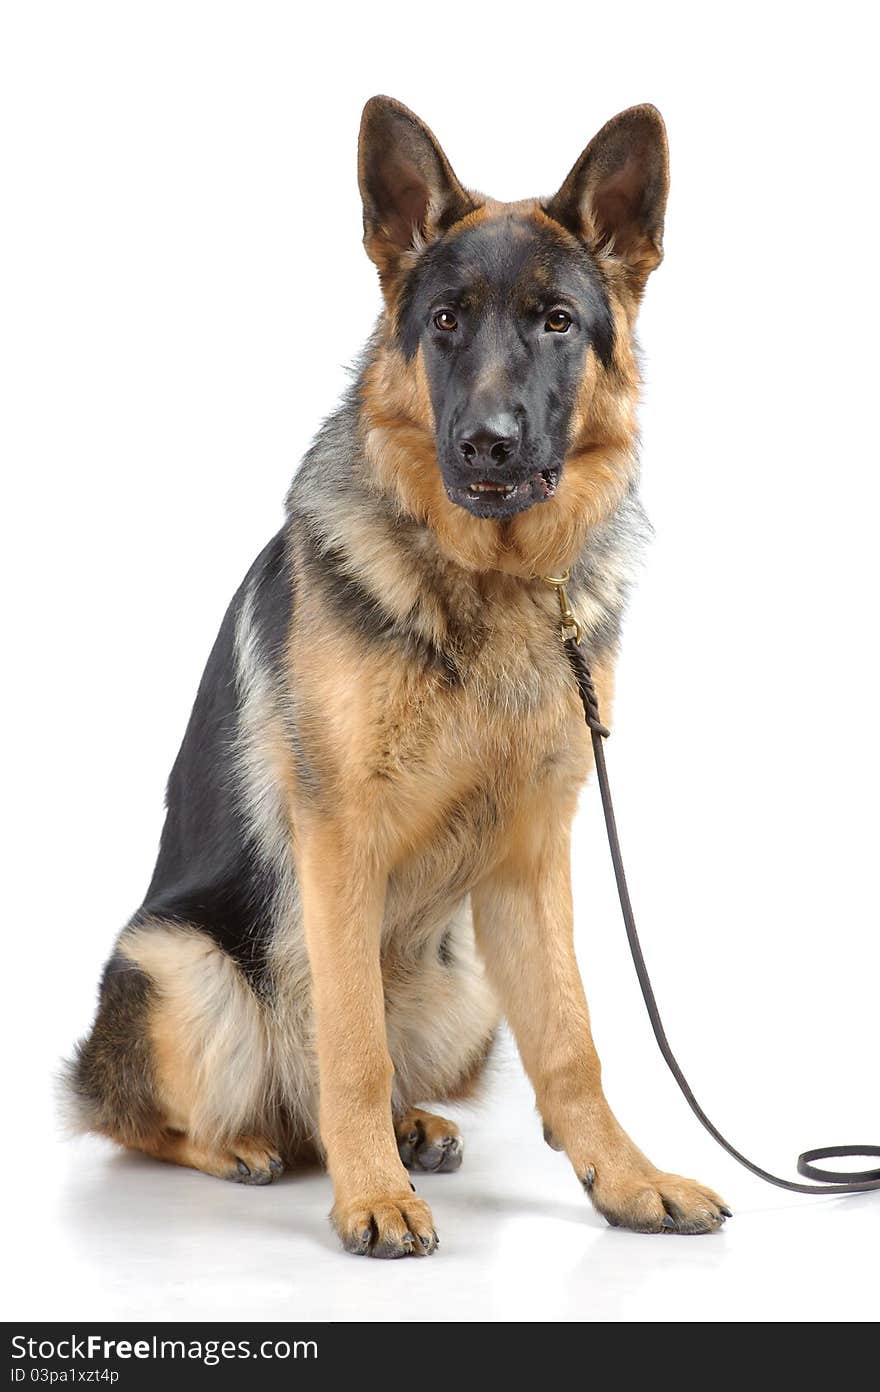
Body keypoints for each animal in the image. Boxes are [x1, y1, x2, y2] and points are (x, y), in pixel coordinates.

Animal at [68, 95, 724, 1252]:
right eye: (448, 321)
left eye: (558, 321)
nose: (488, 445)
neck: (492, 585)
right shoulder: (338, 840)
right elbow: (351, 1043)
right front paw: (371, 1194)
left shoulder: (532, 853)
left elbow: (572, 1043)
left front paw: (626, 1179)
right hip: (184, 966)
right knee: (157, 1115)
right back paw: (253, 1146)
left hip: (461, 984)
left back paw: (406, 1129)